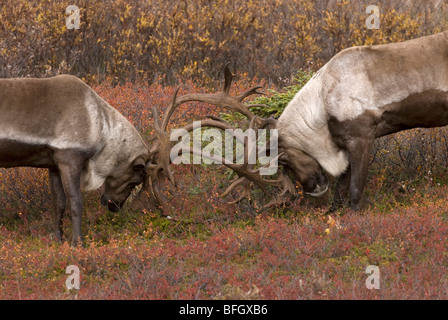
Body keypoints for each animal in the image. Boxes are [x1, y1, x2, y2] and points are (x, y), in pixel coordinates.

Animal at [0, 75, 150, 245]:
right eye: (135, 182)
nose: (115, 207)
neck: (102, 128)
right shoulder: (69, 160)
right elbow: (76, 202)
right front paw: (77, 243)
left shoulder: (54, 165)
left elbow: (58, 203)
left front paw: (58, 239)